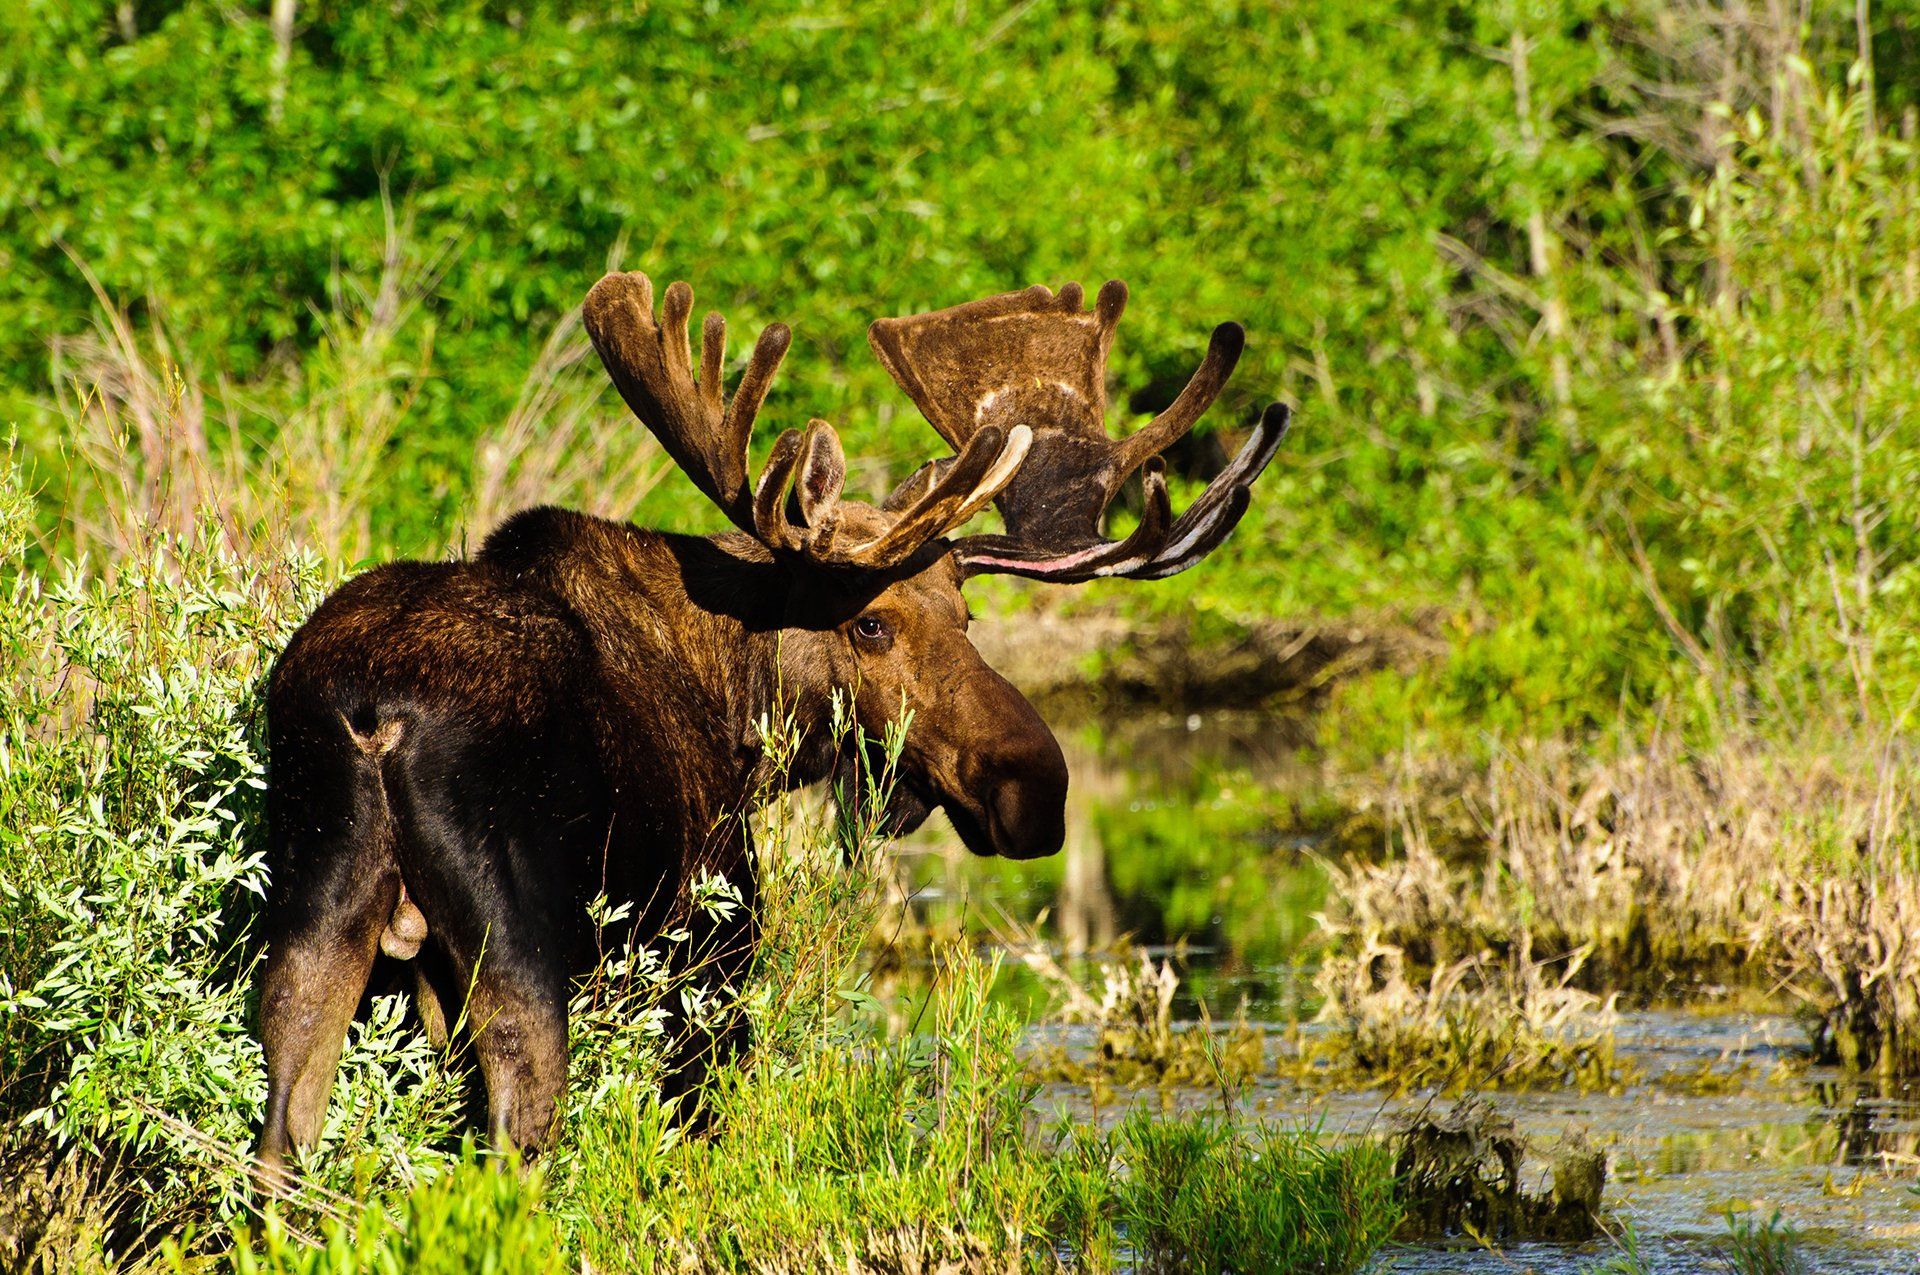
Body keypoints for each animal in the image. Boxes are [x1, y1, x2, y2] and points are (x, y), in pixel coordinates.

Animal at [252, 270, 1289, 1183]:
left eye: (967, 615)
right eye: (870, 623)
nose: (1037, 784)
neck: (739, 705)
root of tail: (374, 717)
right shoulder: (710, 950)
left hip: (314, 918)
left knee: (282, 1140)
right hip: (522, 949)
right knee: (513, 1144)